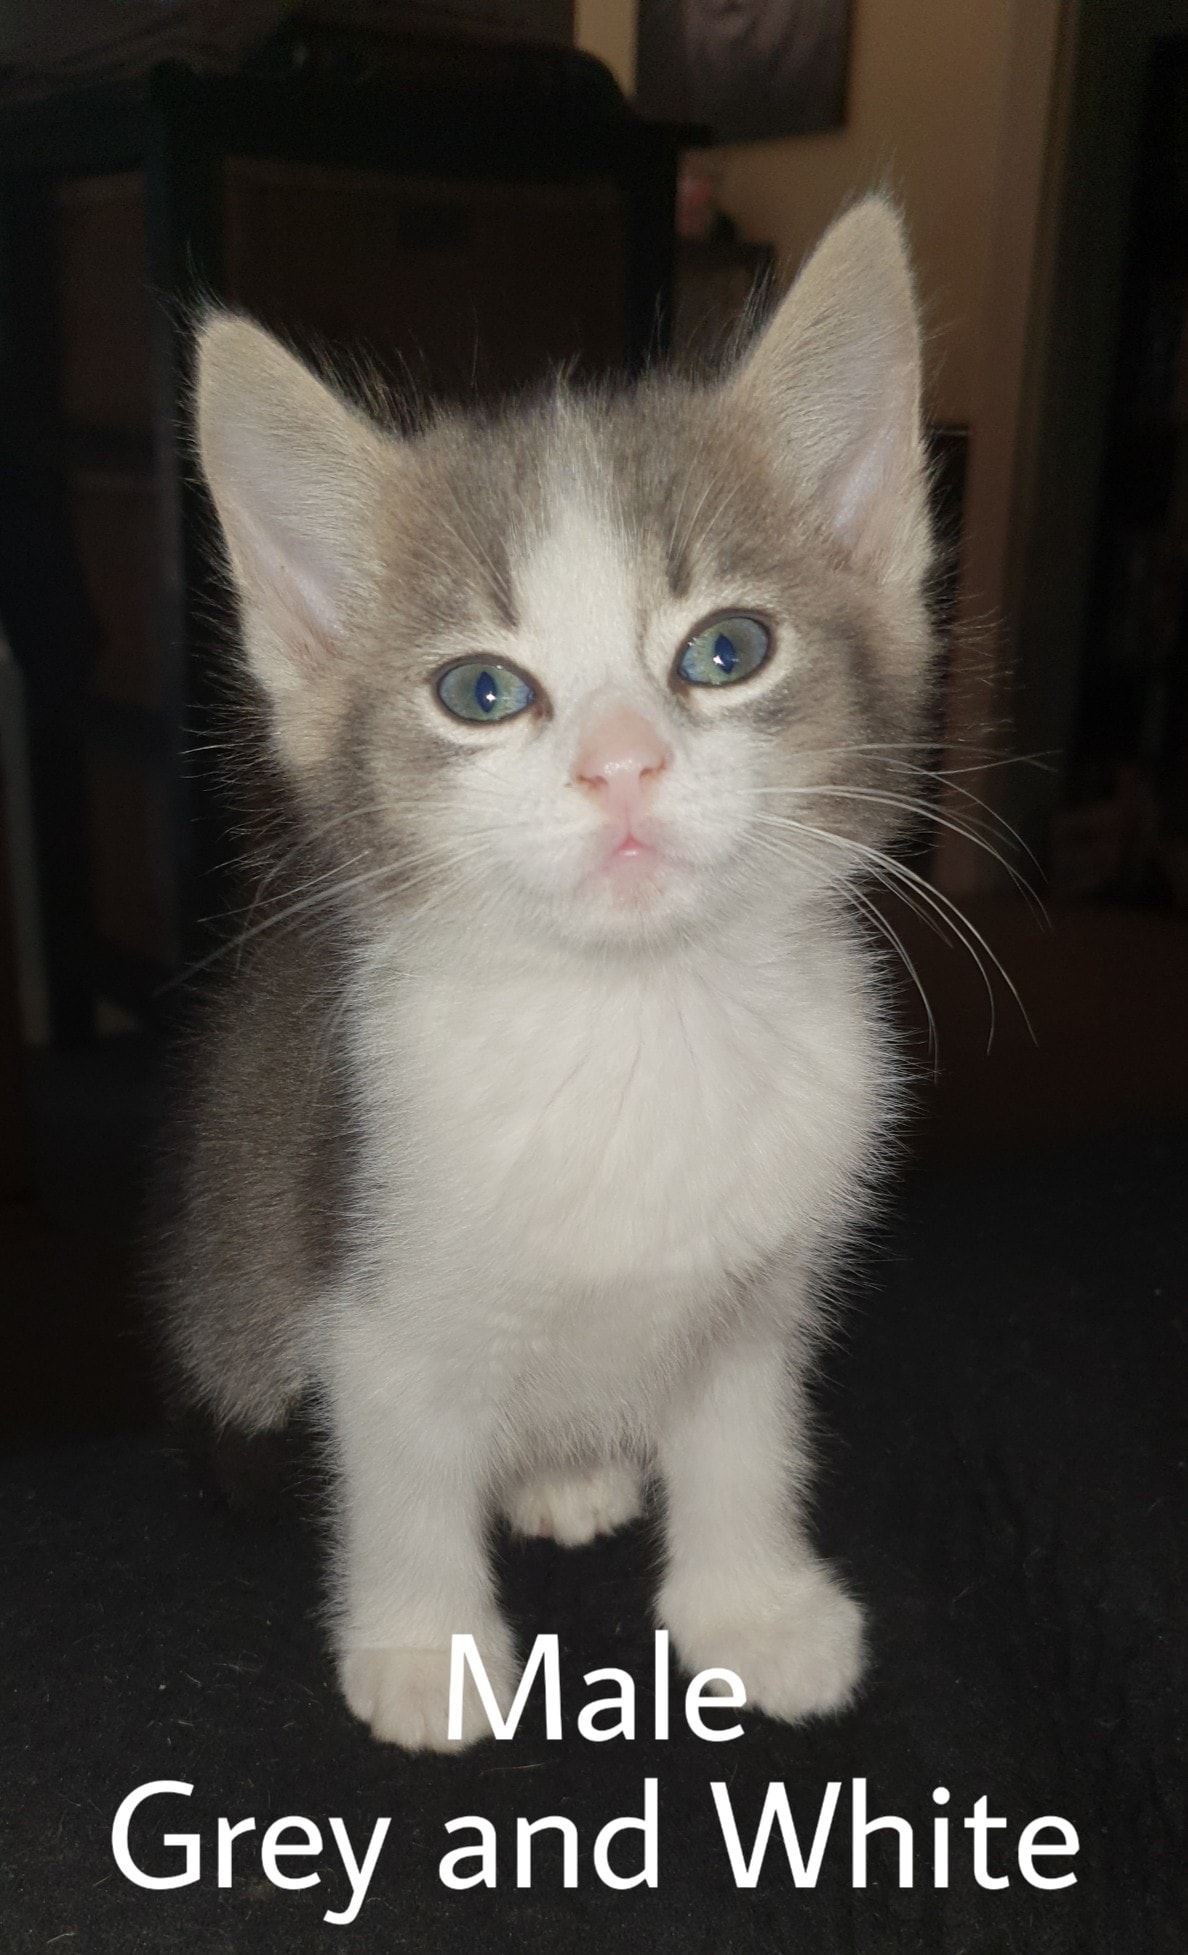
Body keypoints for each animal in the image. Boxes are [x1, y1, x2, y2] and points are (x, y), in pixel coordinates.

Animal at [158, 195, 935, 1751]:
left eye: (728, 650)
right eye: (482, 690)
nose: (621, 763)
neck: (632, 1024)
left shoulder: (766, 1284)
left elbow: (746, 1435)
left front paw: (755, 1607)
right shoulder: (372, 1271)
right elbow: (399, 1472)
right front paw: (425, 1648)